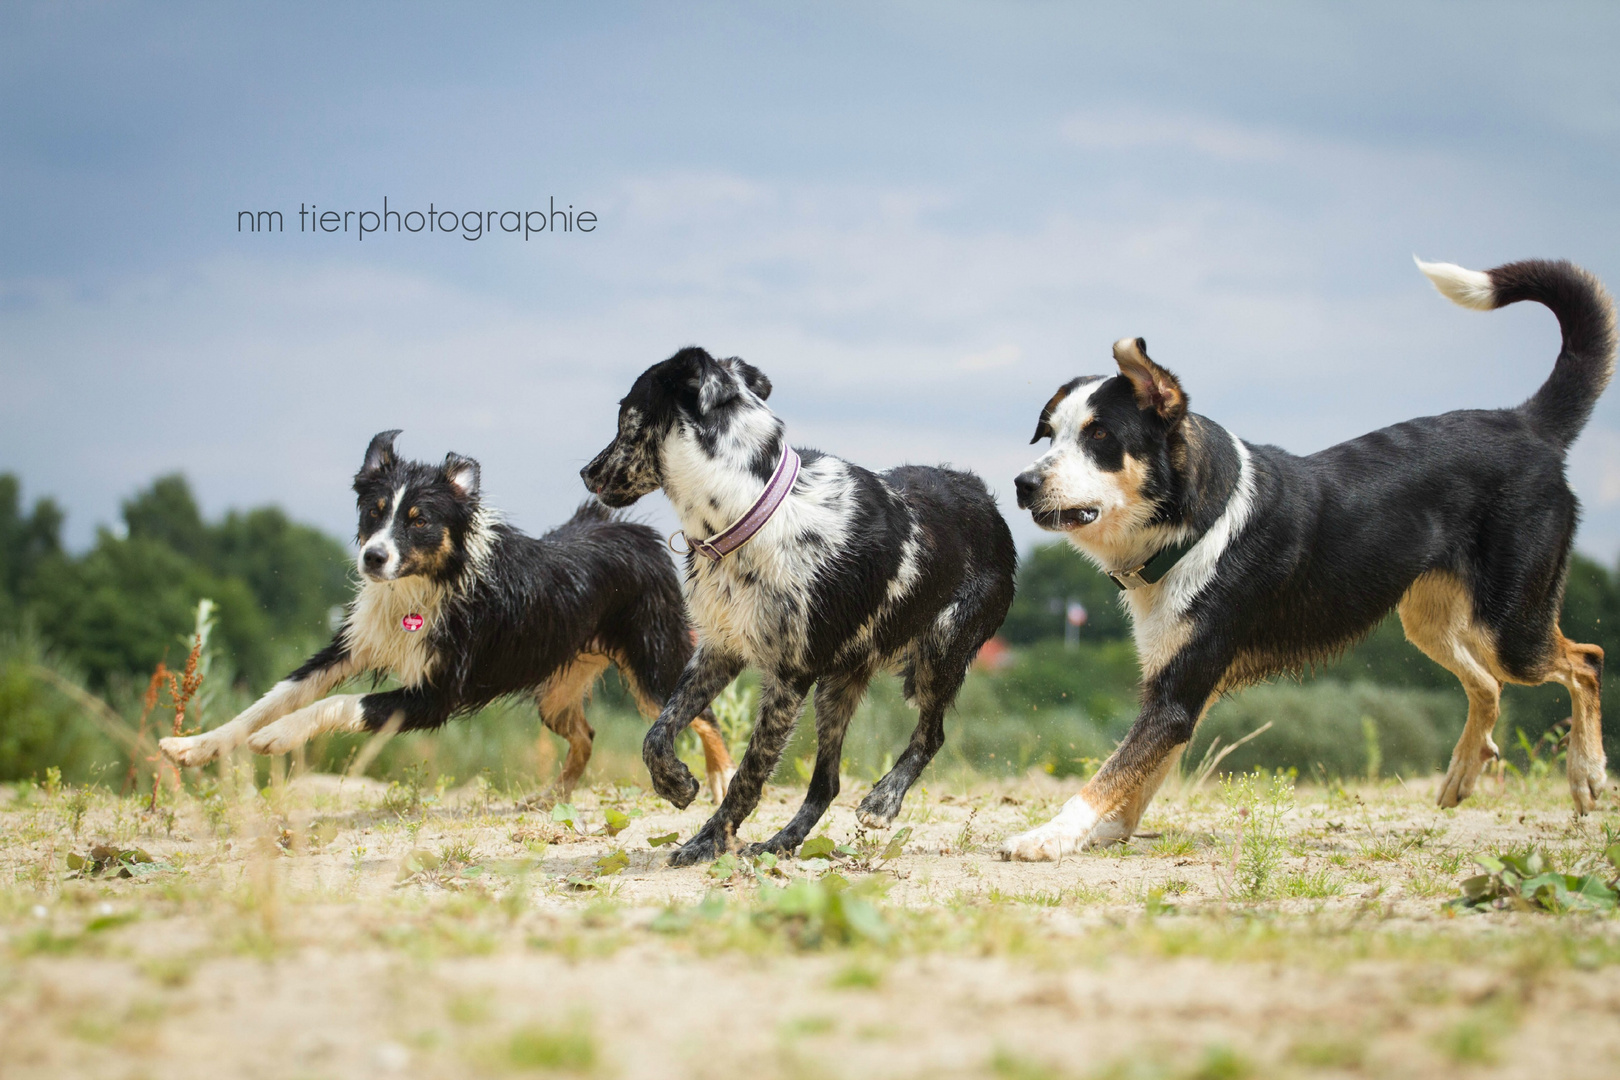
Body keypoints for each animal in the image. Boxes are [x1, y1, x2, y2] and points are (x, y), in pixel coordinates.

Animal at [159, 430, 735, 803]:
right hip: (556, 687)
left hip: (652, 666)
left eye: (419, 521)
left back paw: (722, 781)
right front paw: (192, 746)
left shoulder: (437, 693)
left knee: (702, 717)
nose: (372, 558)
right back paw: (550, 796)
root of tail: (637, 532)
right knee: (585, 734)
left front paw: (278, 737)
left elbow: (339, 705)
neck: (422, 589)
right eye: (375, 512)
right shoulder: (351, 647)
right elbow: (270, 699)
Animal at [583, 346, 1010, 867]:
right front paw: (676, 784)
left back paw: (883, 801)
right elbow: (659, 730)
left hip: (940, 650)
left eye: (625, 417)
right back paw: (781, 842)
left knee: (930, 736)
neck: (748, 508)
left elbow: (748, 774)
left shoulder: (789, 677)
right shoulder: (718, 649)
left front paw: (708, 841)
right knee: (826, 783)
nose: (586, 472)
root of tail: (986, 500)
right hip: (838, 684)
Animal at [997, 255, 1607, 861]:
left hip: (1509, 627)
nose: (1023, 484)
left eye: (1100, 435)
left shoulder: (1178, 692)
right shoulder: (1177, 684)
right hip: (1429, 619)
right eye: (1049, 435)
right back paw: (1462, 772)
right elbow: (1142, 773)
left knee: (1585, 660)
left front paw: (1050, 835)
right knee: (1489, 684)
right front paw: (1106, 831)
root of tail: (1527, 424)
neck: (1198, 523)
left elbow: (1113, 771)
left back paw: (1587, 773)